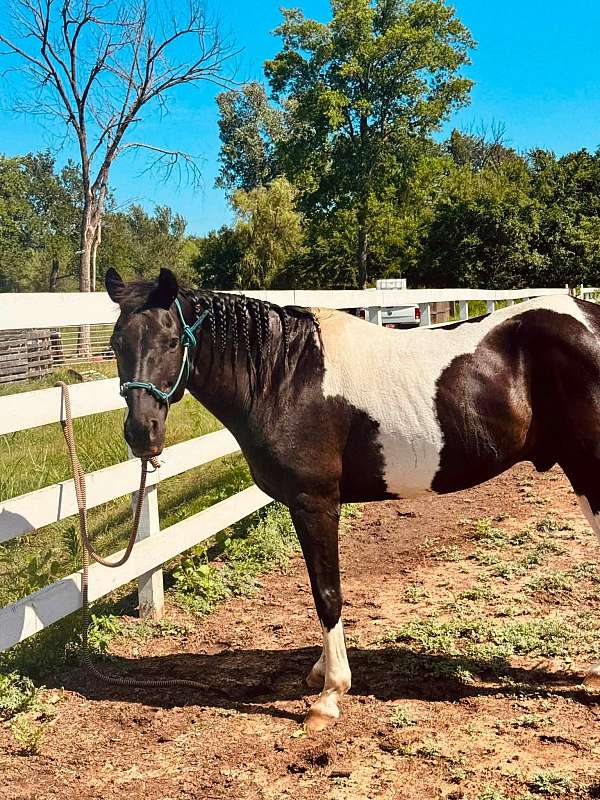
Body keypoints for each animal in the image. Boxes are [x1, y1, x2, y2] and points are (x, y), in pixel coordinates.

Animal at [105, 267, 600, 731]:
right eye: (116, 343)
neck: (286, 378)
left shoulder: (315, 502)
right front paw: (320, 672)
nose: (142, 433)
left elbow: (327, 592)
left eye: (172, 341)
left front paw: (329, 695)